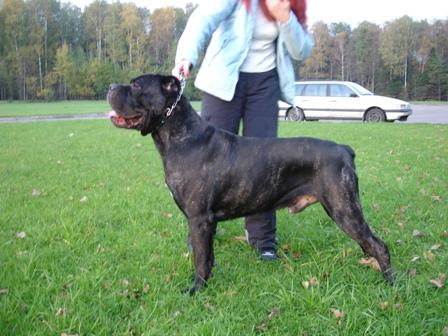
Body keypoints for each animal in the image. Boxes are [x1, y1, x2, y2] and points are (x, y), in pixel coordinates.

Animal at [107, 74, 394, 294]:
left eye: (136, 86)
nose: (110, 87)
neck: (182, 137)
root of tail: (345, 149)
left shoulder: (199, 219)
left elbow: (200, 259)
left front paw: (195, 290)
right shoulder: (205, 224)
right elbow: (208, 257)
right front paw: (207, 284)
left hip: (344, 209)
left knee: (379, 245)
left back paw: (390, 285)